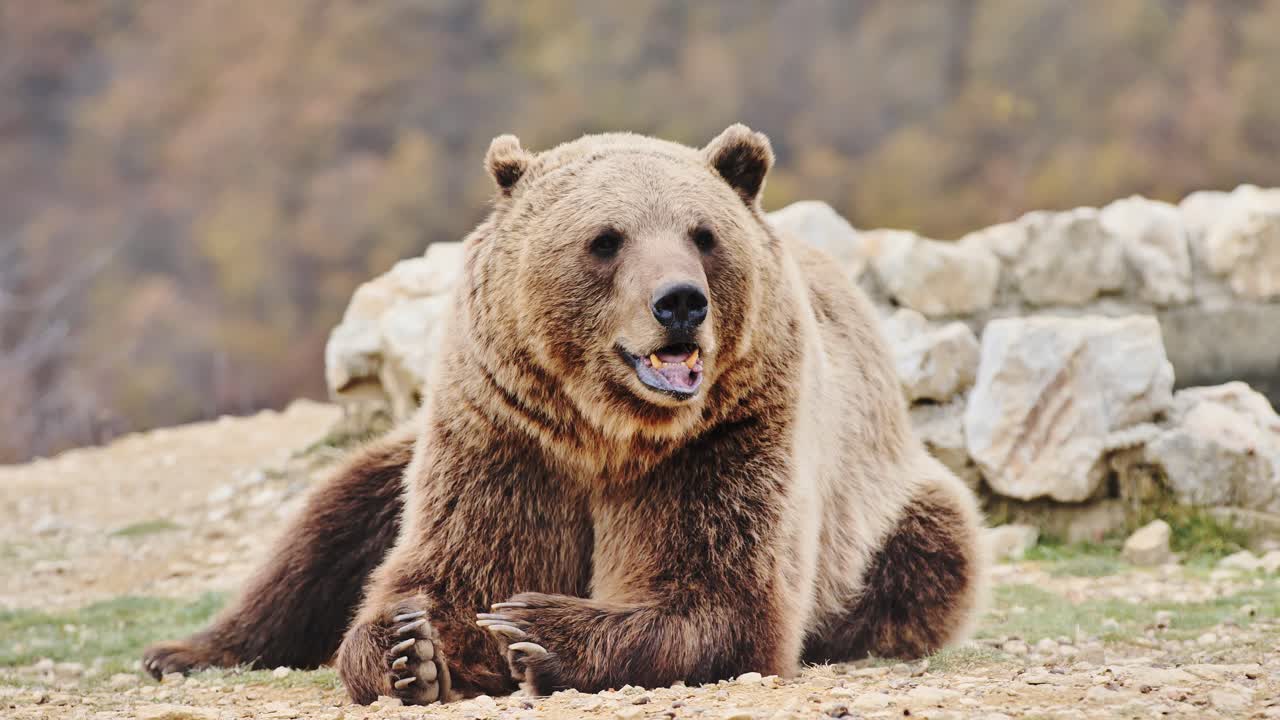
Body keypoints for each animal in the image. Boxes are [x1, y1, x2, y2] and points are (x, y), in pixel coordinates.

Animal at [142, 124, 987, 705]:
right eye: (605, 240)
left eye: (703, 235)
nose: (680, 302)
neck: (605, 431)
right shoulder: (504, 434)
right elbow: (449, 566)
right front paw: (410, 649)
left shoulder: (731, 434)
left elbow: (718, 595)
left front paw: (537, 631)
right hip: (403, 454)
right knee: (328, 523)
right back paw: (183, 651)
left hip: (889, 507)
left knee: (927, 559)